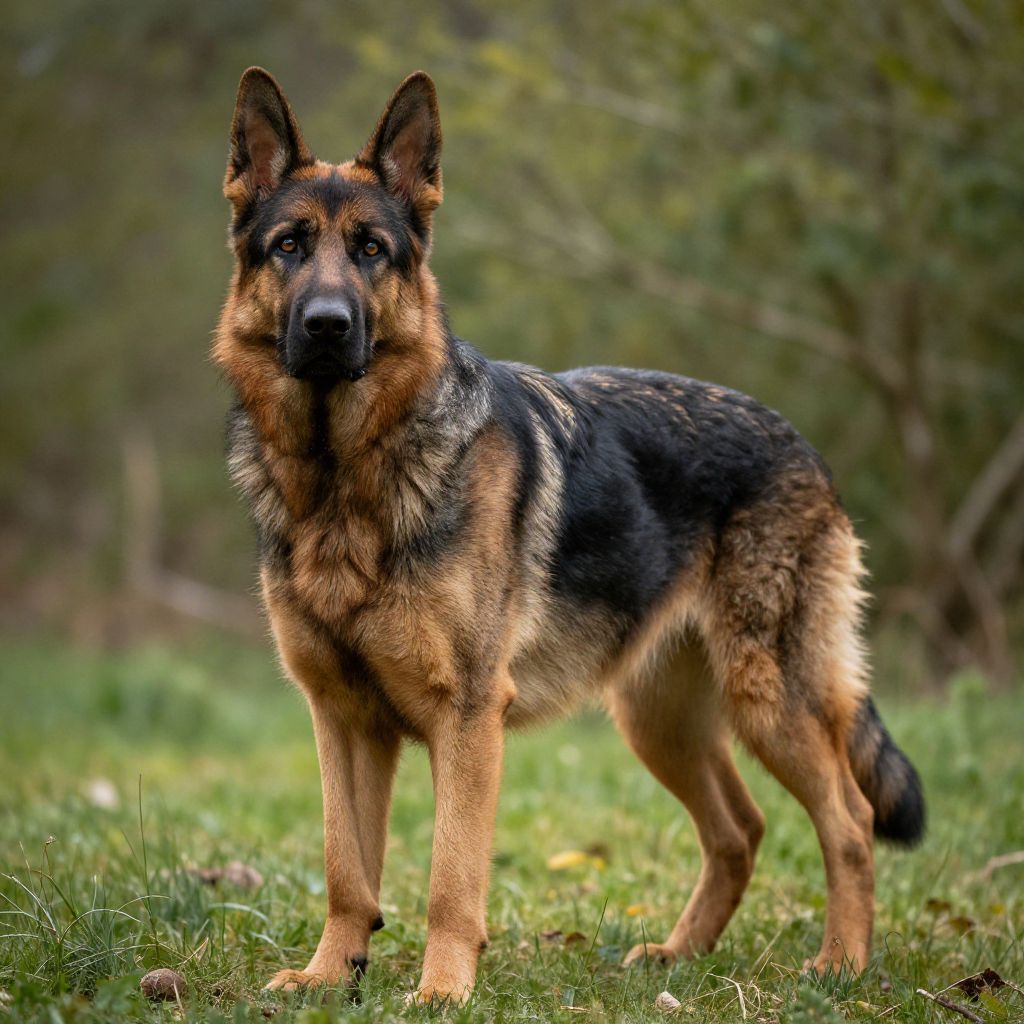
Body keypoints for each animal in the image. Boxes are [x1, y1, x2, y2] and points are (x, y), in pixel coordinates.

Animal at [213, 68, 925, 1004]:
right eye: (290, 246)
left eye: (371, 251)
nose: (327, 325)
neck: (346, 478)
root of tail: (802, 444)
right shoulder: (341, 720)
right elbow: (346, 870)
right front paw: (331, 976)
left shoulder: (467, 719)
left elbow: (450, 878)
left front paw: (442, 993)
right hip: (660, 723)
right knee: (741, 829)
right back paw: (678, 956)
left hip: (768, 702)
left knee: (846, 821)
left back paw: (840, 964)